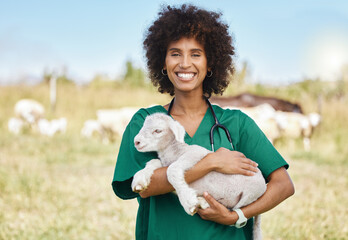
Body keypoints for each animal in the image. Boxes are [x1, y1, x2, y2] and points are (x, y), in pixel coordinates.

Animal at [131, 113, 266, 240]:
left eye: (157, 130)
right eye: (143, 126)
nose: (136, 142)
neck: (173, 153)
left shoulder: (196, 153)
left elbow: (172, 169)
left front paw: (188, 201)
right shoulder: (164, 163)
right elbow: (153, 162)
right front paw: (139, 180)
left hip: (250, 194)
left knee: (233, 211)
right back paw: (203, 201)